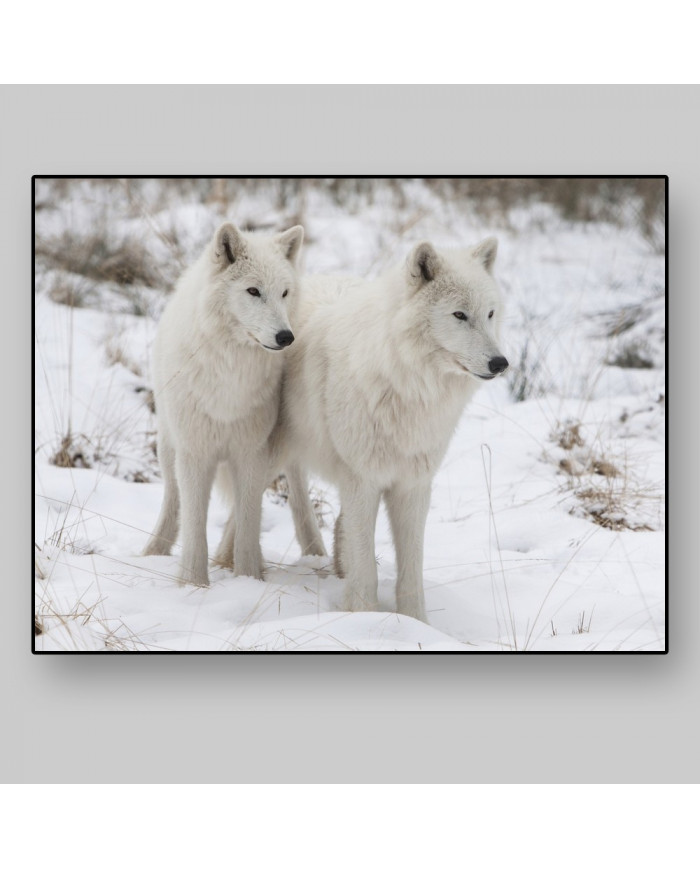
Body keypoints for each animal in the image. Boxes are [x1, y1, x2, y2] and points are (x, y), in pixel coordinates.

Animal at [143, 221, 317, 587]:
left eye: (284, 293)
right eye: (253, 291)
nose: (286, 337)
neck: (231, 376)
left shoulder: (251, 452)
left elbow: (249, 523)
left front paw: (248, 578)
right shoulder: (195, 453)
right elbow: (195, 524)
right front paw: (193, 584)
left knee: (294, 491)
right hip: (169, 447)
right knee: (172, 501)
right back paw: (154, 551)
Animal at [281, 237, 508, 622]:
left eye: (490, 314)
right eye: (459, 315)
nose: (500, 363)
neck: (407, 384)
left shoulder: (413, 486)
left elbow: (411, 573)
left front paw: (417, 623)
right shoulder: (362, 481)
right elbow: (365, 570)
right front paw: (363, 616)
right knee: (291, 494)